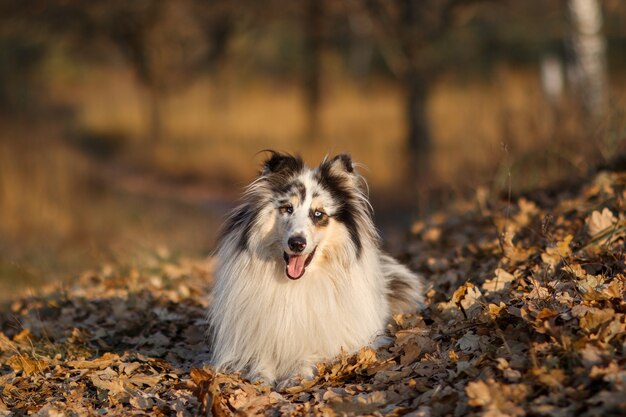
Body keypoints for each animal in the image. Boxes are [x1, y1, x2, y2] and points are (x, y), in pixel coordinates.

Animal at [207, 152, 422, 384]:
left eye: (318, 214)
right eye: (287, 209)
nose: (296, 243)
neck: (296, 283)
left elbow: (311, 354)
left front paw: (297, 376)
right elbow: (261, 357)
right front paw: (260, 377)